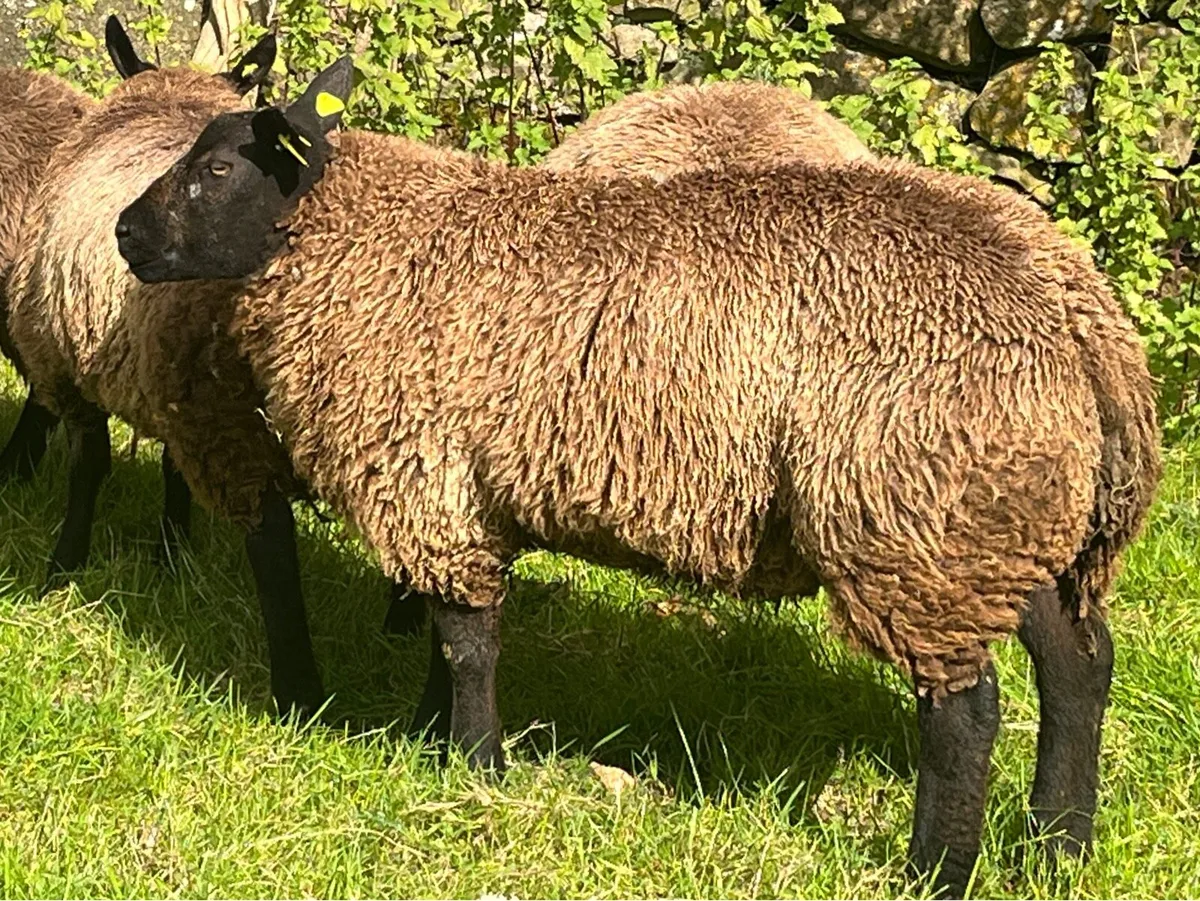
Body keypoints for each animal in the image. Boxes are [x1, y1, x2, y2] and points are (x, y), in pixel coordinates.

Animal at [116, 59, 1160, 896]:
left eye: (217, 170)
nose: (126, 232)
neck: (366, 236)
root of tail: (1078, 310)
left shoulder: (423, 474)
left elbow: (468, 644)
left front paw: (474, 766)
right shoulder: (454, 490)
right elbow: (453, 635)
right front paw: (430, 737)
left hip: (917, 522)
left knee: (967, 711)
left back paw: (935, 871)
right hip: (1010, 515)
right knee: (1079, 666)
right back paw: (1059, 844)